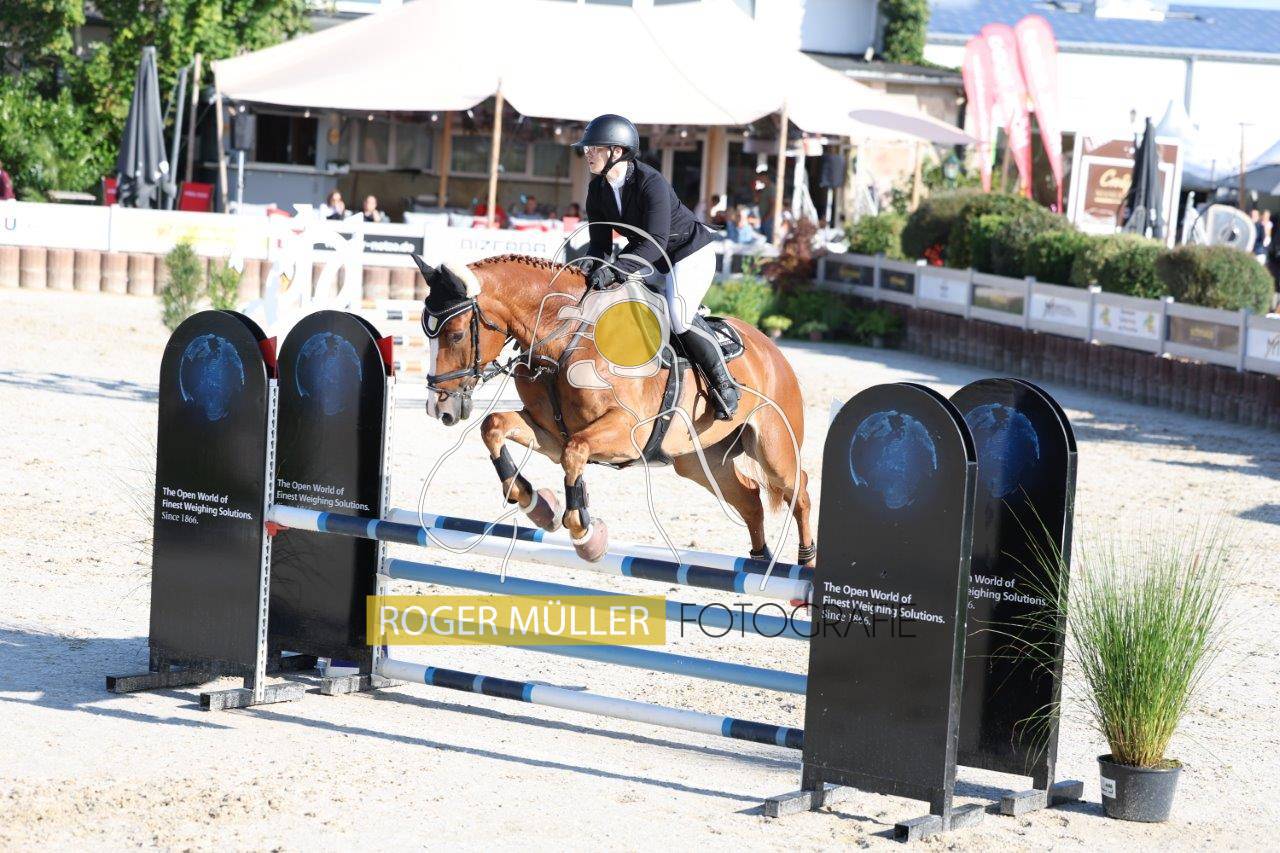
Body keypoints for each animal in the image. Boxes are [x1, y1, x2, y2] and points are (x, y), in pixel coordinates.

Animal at [410, 253, 815, 568]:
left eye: (456, 334)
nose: (439, 407)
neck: (567, 337)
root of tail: (773, 350)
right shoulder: (548, 432)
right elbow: (495, 427)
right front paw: (536, 504)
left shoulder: (626, 432)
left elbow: (575, 453)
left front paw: (585, 534)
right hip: (700, 460)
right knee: (749, 498)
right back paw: (760, 561)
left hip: (773, 449)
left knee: (798, 489)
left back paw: (804, 563)